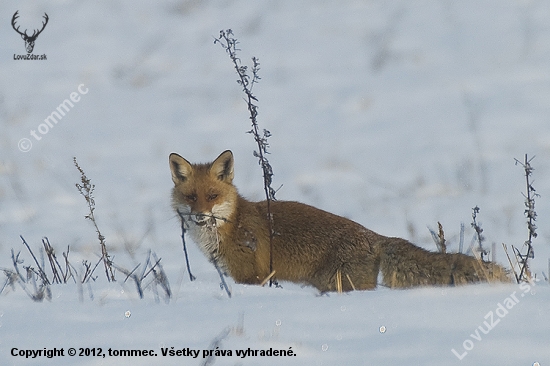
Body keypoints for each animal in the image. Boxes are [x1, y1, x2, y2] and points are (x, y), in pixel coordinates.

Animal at [169, 149, 512, 292]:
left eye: (212, 195)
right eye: (192, 197)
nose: (199, 215)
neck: (230, 226)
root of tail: (374, 235)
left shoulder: (252, 277)